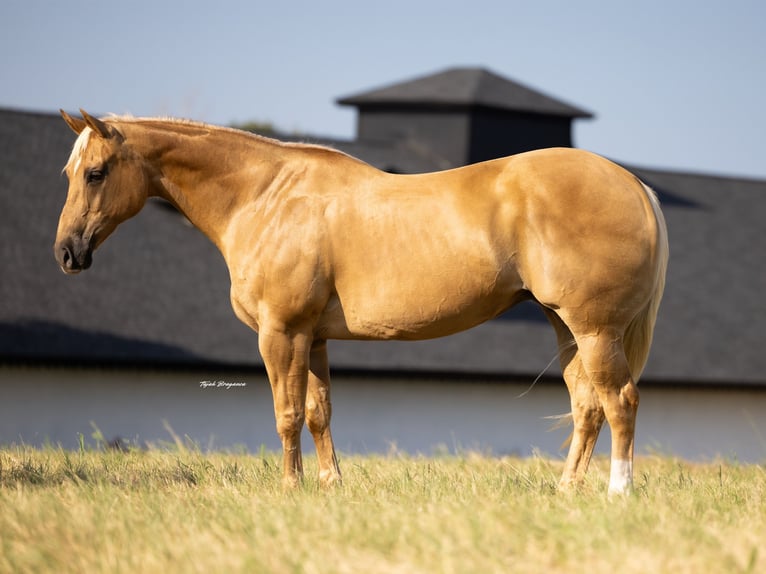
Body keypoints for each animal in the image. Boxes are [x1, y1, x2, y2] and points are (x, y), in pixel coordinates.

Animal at [55, 109, 668, 495]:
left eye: (96, 172)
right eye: (69, 172)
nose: (67, 252)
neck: (266, 196)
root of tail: (634, 185)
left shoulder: (281, 332)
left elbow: (285, 414)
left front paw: (290, 488)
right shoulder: (314, 336)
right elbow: (317, 413)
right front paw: (330, 486)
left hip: (594, 330)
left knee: (620, 403)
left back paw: (618, 493)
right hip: (567, 328)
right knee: (588, 407)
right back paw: (566, 492)